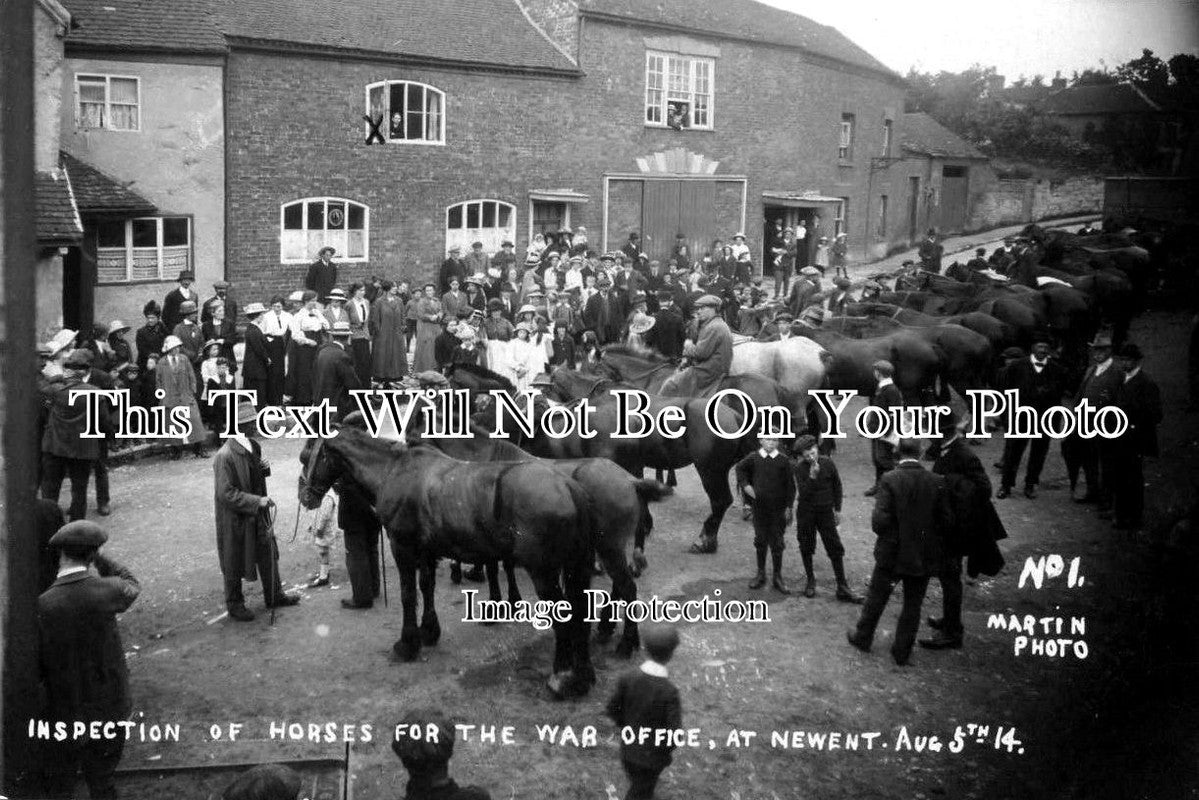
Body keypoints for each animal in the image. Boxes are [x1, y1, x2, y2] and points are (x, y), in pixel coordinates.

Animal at [302, 429, 597, 695]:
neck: (393, 470)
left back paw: (561, 677)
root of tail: (570, 488)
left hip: (544, 572)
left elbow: (408, 594)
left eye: (308, 456)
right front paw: (428, 631)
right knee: (581, 612)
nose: (305, 497)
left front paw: (407, 644)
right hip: (577, 565)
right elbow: (426, 587)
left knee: (564, 616)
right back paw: (582, 676)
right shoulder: (426, 550)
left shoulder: (403, 546)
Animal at [446, 364, 752, 556]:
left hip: (710, 470)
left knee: (720, 501)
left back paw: (705, 540)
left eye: (451, 383)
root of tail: (735, 415)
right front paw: (645, 525)